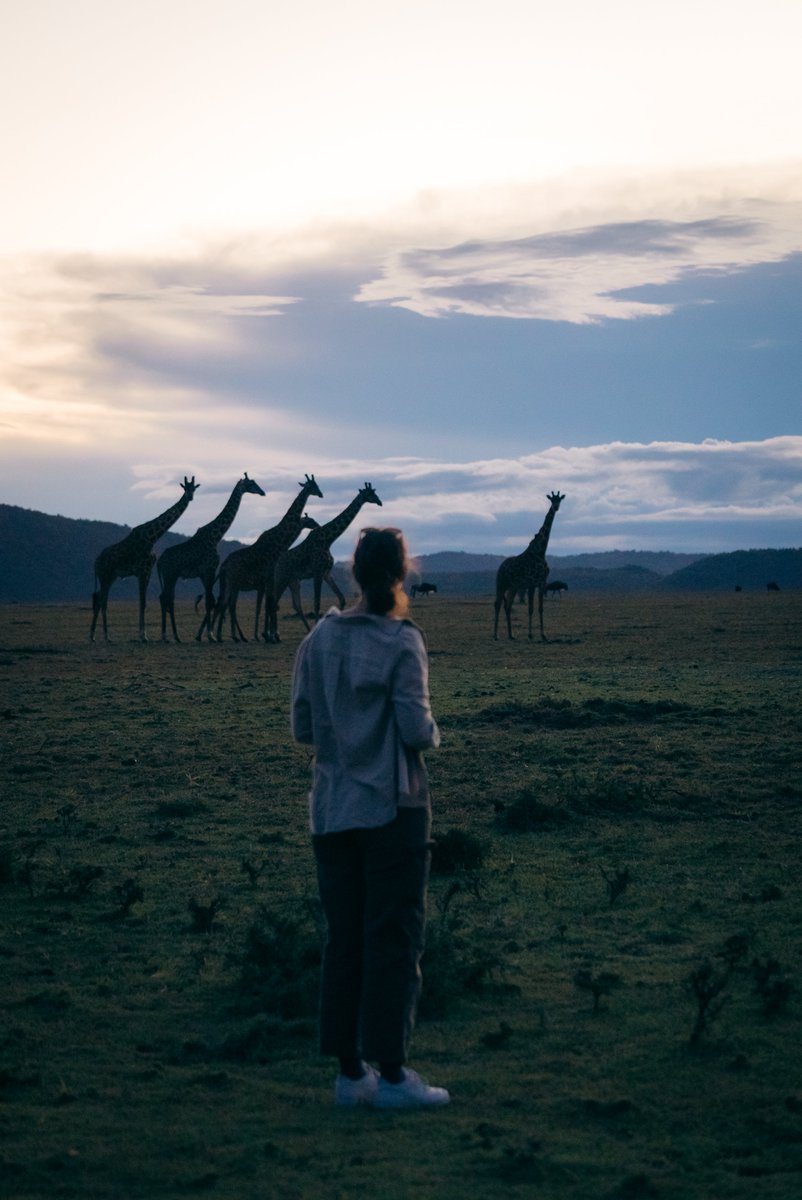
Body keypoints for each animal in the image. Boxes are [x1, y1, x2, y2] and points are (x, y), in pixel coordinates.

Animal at [90, 476, 199, 643]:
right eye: (185, 488)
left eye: (194, 488)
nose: (190, 497)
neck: (152, 537)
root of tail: (96, 562)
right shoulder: (143, 571)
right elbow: (142, 602)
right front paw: (143, 636)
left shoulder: (146, 572)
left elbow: (144, 602)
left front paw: (142, 635)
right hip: (105, 575)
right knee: (101, 600)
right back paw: (104, 636)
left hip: (111, 577)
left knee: (100, 599)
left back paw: (96, 636)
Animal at [157, 473, 266, 642]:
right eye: (251, 483)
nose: (262, 492)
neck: (216, 536)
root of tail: (159, 561)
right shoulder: (210, 570)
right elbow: (210, 601)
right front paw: (211, 635)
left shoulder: (205, 573)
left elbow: (211, 599)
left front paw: (207, 634)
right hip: (170, 575)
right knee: (165, 599)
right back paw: (169, 636)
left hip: (172, 576)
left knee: (167, 598)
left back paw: (173, 636)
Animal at [209, 473, 324, 642]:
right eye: (313, 486)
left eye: (317, 485)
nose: (321, 494)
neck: (279, 543)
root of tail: (223, 566)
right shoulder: (269, 578)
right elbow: (270, 604)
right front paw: (271, 636)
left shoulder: (268, 579)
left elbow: (269, 604)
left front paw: (268, 635)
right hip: (232, 583)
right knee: (224, 604)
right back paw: (216, 636)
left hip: (230, 584)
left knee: (224, 604)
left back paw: (221, 636)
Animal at [268, 482, 382, 641]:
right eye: (370, 494)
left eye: (375, 492)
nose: (380, 502)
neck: (328, 540)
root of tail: (277, 564)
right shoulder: (317, 572)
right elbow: (317, 603)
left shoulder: (326, 573)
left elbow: (341, 599)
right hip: (281, 578)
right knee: (274, 602)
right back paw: (273, 636)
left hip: (293, 581)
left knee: (295, 605)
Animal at [493, 491, 565, 641]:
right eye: (552, 500)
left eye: (560, 500)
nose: (556, 507)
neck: (541, 552)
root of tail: (500, 567)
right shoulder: (531, 584)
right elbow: (530, 609)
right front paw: (530, 634)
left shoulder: (542, 583)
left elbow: (540, 608)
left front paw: (543, 635)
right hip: (501, 583)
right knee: (497, 604)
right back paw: (495, 635)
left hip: (513, 587)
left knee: (507, 605)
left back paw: (511, 635)